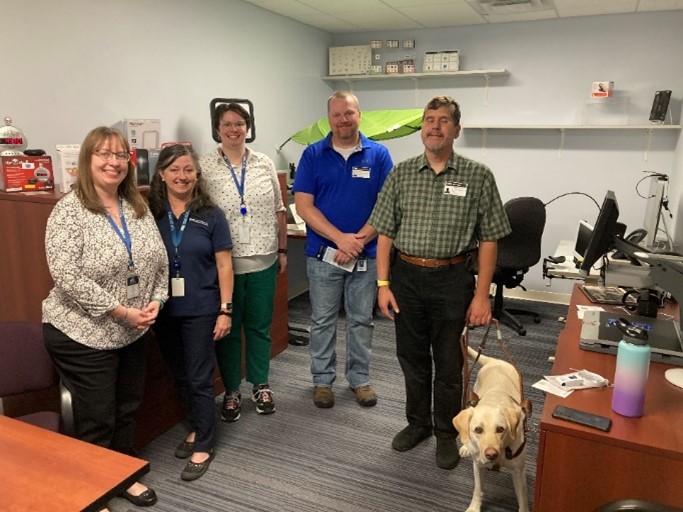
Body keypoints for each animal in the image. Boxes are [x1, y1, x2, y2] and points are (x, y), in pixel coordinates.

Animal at [454, 346, 528, 510]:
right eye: (478, 430)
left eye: (500, 429)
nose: (491, 454)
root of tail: (495, 361)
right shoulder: (478, 466)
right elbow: (477, 490)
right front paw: (474, 508)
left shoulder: (519, 471)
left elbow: (523, 500)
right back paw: (466, 447)